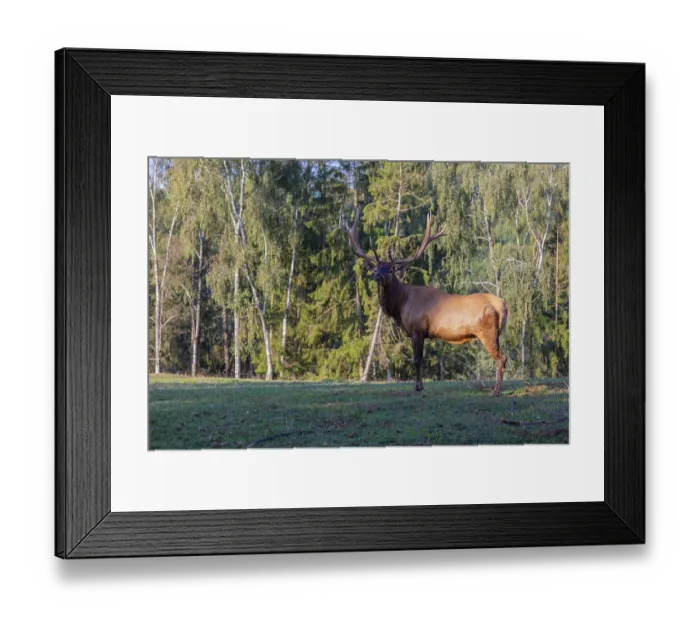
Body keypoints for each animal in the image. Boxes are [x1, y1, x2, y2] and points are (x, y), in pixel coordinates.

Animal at [345, 208, 509, 395]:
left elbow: (417, 359)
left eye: (391, 269)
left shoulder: (418, 328)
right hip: (496, 333)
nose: (377, 276)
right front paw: (419, 385)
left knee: (501, 357)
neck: (400, 307)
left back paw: (496, 390)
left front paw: (418, 387)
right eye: (376, 268)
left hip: (486, 331)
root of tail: (503, 306)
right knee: (503, 357)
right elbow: (418, 359)